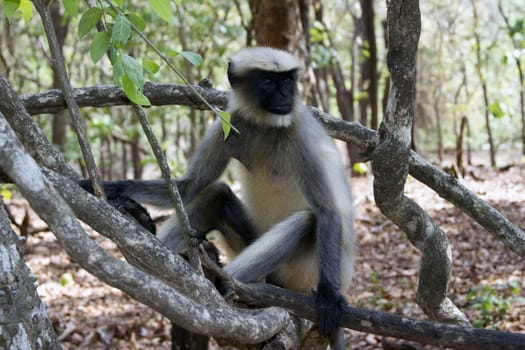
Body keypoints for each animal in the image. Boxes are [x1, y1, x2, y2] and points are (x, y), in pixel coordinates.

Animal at [80, 47, 354, 350]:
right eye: (268, 82)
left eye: (287, 81)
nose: (285, 95)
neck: (266, 126)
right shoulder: (230, 122)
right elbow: (188, 187)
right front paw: (110, 187)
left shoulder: (301, 132)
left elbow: (327, 209)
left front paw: (329, 299)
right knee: (216, 194)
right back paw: (156, 239)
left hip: (302, 274)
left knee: (307, 220)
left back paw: (220, 282)